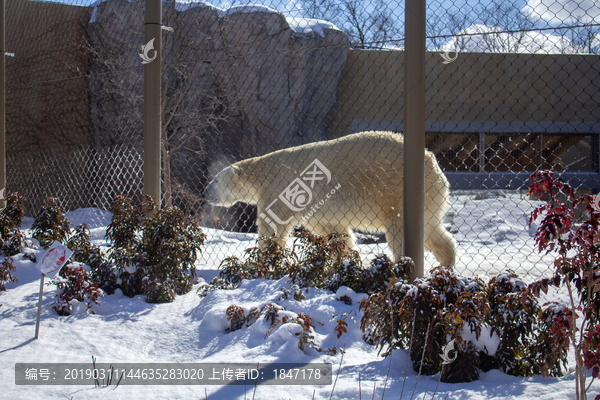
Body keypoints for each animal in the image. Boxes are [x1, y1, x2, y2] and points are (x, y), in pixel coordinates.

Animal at [204, 131, 458, 268]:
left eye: (215, 180)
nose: (204, 193)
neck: (262, 172)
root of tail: (431, 160)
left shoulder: (280, 189)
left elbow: (273, 226)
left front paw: (264, 260)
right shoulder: (316, 209)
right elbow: (334, 230)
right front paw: (344, 261)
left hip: (396, 192)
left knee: (401, 231)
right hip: (429, 197)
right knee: (431, 229)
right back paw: (445, 264)